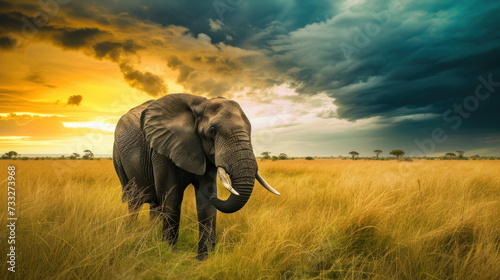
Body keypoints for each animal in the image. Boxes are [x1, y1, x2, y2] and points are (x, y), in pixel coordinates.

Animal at [112, 93, 282, 260]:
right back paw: (132, 231)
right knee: (134, 199)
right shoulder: (162, 149)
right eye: (212, 131)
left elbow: (205, 199)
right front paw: (169, 253)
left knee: (154, 203)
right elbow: (171, 195)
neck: (200, 103)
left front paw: (203, 259)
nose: (218, 197)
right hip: (118, 157)